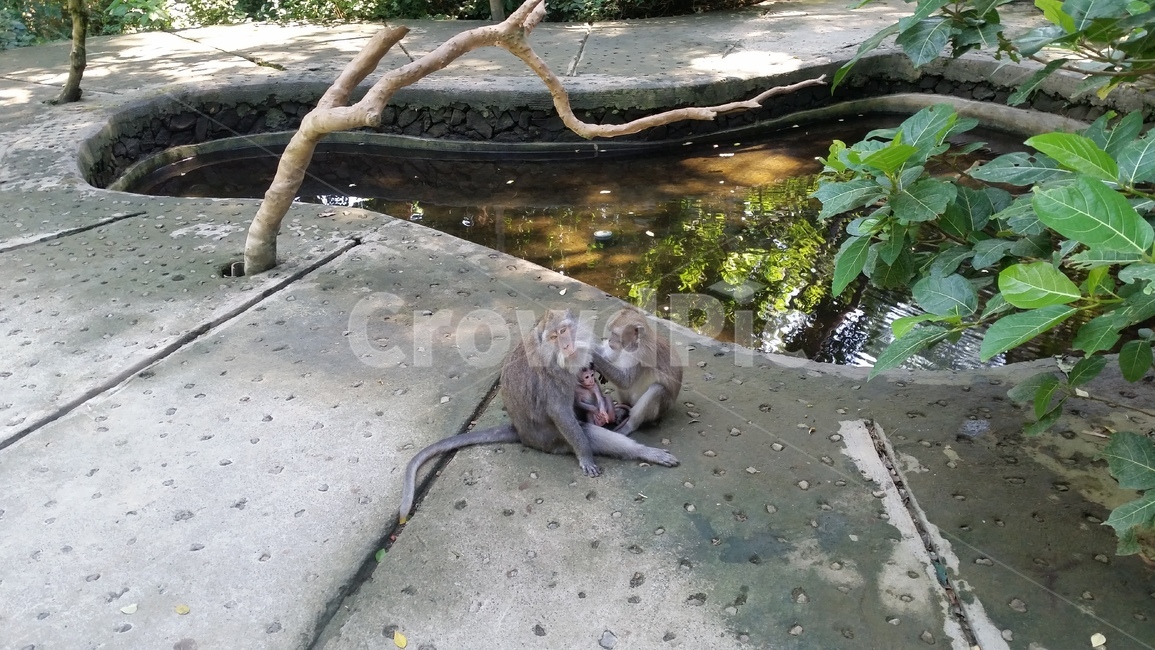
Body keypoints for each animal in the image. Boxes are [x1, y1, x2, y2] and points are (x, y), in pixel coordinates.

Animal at [591, 306, 683, 436]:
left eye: (614, 333)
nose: (609, 340)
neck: (634, 344)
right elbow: (607, 355)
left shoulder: (641, 354)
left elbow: (626, 381)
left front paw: (592, 355)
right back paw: (624, 407)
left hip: (664, 407)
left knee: (657, 389)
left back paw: (630, 426)